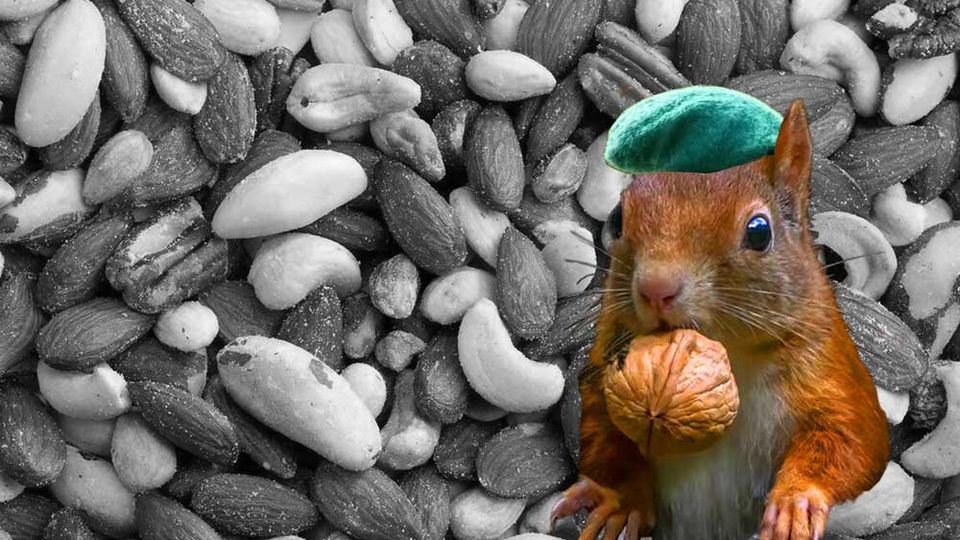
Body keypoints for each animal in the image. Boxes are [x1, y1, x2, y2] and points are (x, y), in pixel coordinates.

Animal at [550, 100, 889, 540]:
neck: (731, 355)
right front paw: (620, 500)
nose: (656, 287)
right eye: (617, 218)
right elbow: (606, 437)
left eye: (759, 231)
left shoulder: (831, 368)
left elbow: (854, 438)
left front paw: (796, 500)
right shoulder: (605, 377)